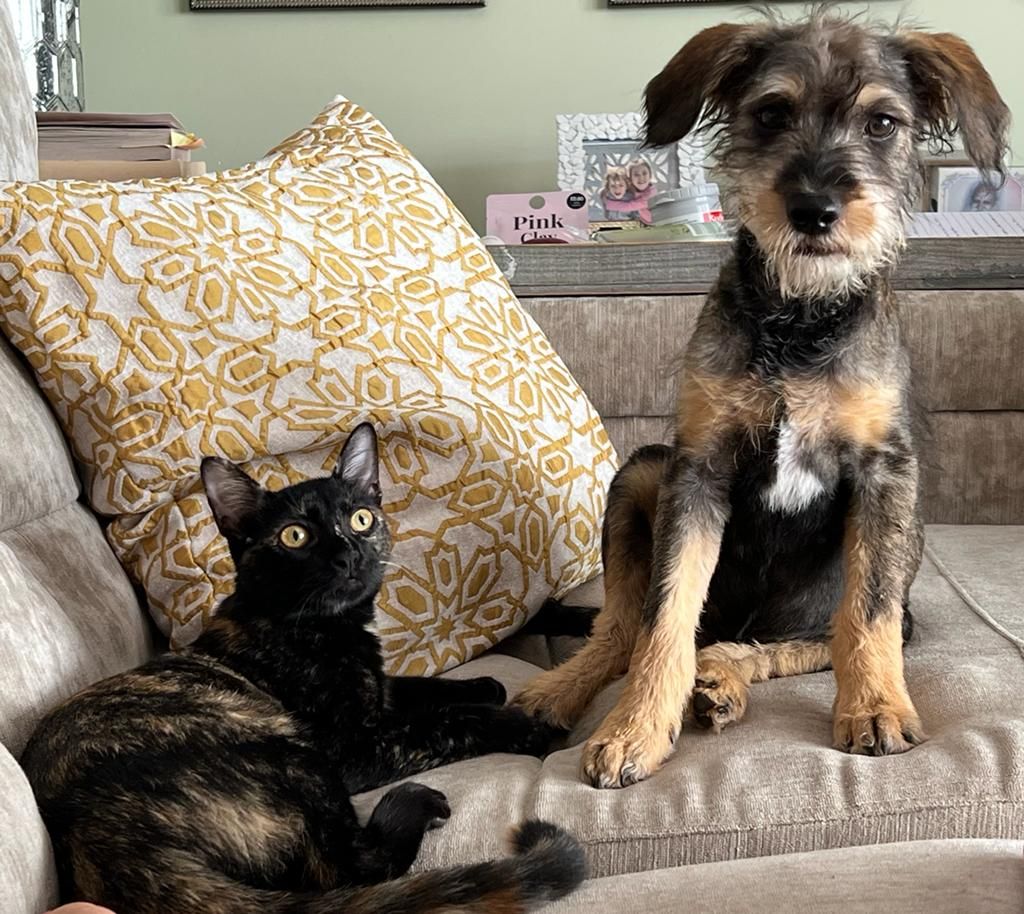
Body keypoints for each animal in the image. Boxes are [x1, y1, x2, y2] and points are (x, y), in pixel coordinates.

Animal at [21, 423, 584, 914]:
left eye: (360, 519)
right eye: (294, 536)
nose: (348, 555)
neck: (330, 627)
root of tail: (102, 838)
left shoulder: (376, 693)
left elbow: (416, 687)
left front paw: (485, 685)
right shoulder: (353, 746)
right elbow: (441, 725)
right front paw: (522, 725)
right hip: (292, 754)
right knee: (348, 867)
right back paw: (417, 803)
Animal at [514, 11, 1010, 789]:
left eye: (883, 123)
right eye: (772, 112)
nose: (813, 211)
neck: (798, 320)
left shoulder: (885, 473)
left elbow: (864, 615)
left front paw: (873, 708)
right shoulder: (698, 469)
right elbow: (662, 615)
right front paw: (634, 728)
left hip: (891, 562)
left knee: (810, 637)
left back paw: (723, 677)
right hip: (643, 470)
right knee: (621, 628)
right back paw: (566, 689)